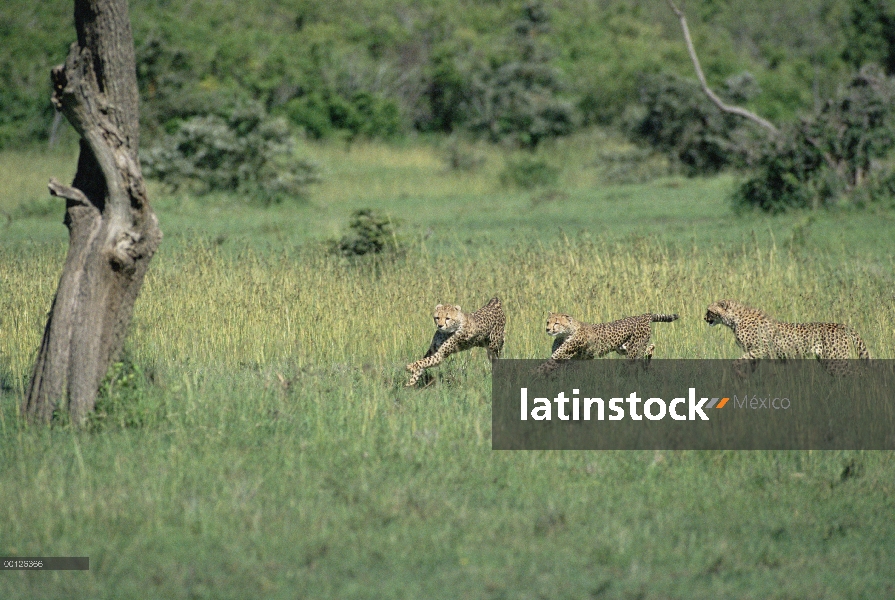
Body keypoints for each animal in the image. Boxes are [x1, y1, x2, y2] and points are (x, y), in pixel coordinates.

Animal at [540, 312, 680, 372]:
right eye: (548, 322)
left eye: (556, 323)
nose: (547, 329)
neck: (564, 334)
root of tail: (643, 315)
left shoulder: (558, 357)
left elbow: (541, 369)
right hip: (625, 348)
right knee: (646, 353)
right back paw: (650, 354)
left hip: (632, 352)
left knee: (635, 364)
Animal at [708, 300, 868, 376]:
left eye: (709, 311)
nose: (704, 318)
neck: (734, 319)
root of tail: (844, 325)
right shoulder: (756, 354)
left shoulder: (760, 349)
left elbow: (735, 362)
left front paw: (740, 375)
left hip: (835, 361)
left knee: (857, 374)